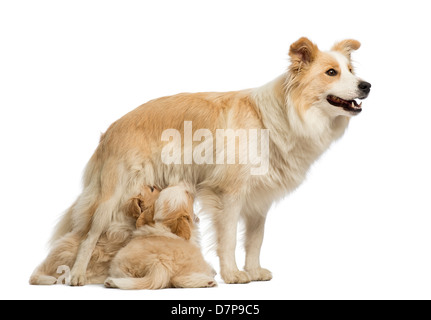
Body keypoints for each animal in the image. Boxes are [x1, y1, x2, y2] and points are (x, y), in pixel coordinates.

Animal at [34, 37, 372, 284]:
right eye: (331, 73)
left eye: (351, 70)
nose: (367, 85)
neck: (282, 116)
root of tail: (110, 130)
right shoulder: (229, 195)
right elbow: (229, 239)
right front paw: (233, 275)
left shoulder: (259, 201)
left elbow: (255, 240)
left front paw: (254, 271)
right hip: (113, 196)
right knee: (89, 235)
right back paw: (77, 275)